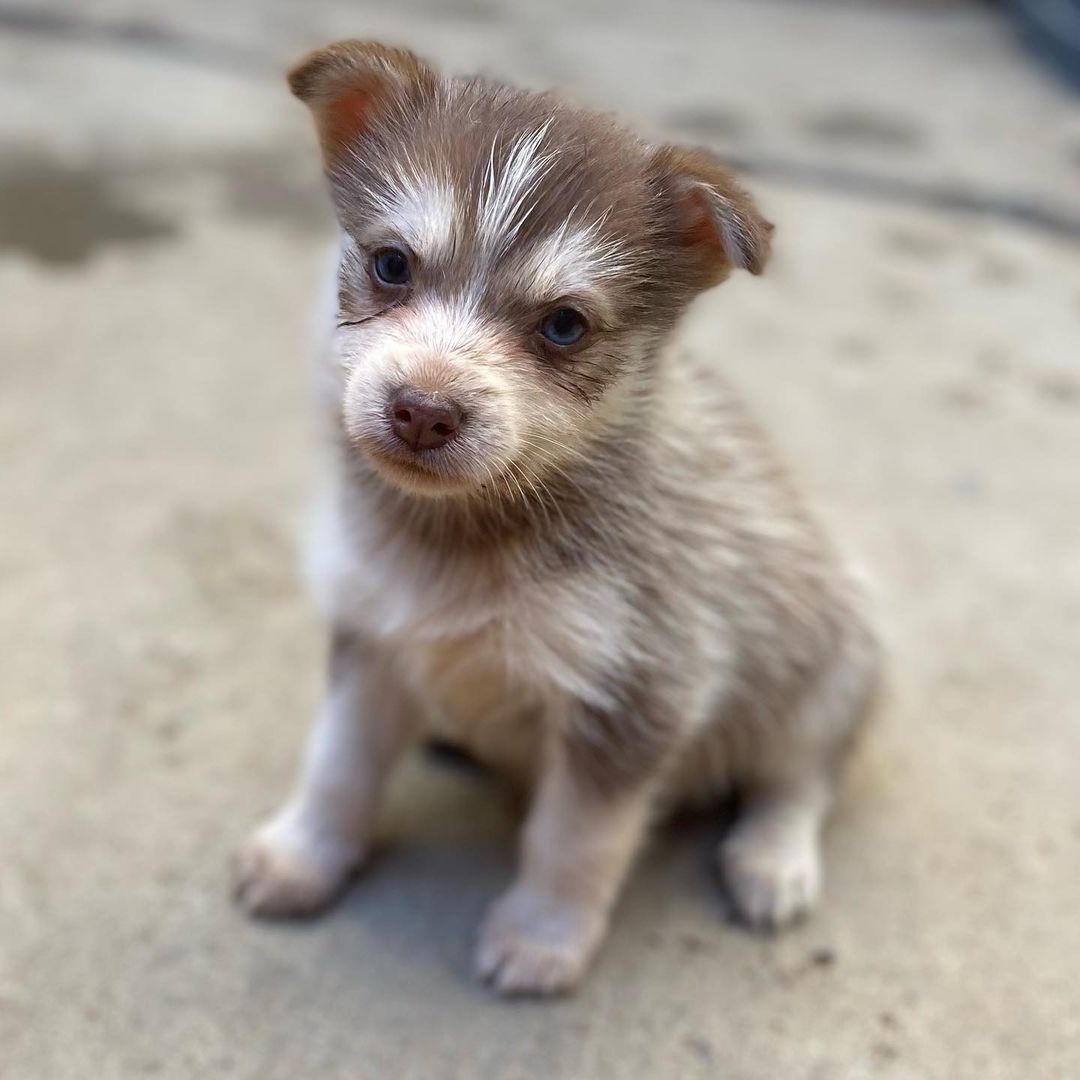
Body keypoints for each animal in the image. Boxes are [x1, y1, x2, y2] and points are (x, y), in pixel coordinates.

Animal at [234, 42, 876, 993]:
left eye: (564, 326)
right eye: (392, 265)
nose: (422, 411)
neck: (462, 536)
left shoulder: (638, 696)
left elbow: (574, 839)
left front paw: (541, 936)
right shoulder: (372, 632)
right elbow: (337, 764)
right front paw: (301, 856)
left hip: (833, 663)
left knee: (800, 775)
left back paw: (772, 860)